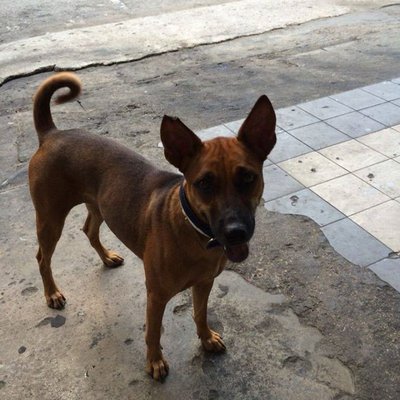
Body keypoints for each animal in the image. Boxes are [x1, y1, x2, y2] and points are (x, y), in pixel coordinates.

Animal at [29, 72, 276, 382]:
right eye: (204, 183)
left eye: (248, 177)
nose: (236, 231)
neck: (194, 232)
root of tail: (52, 134)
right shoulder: (156, 296)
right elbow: (154, 332)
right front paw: (154, 361)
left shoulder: (205, 283)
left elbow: (200, 313)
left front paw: (206, 338)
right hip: (50, 219)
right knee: (42, 258)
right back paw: (51, 293)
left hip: (99, 205)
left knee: (89, 230)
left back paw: (106, 257)